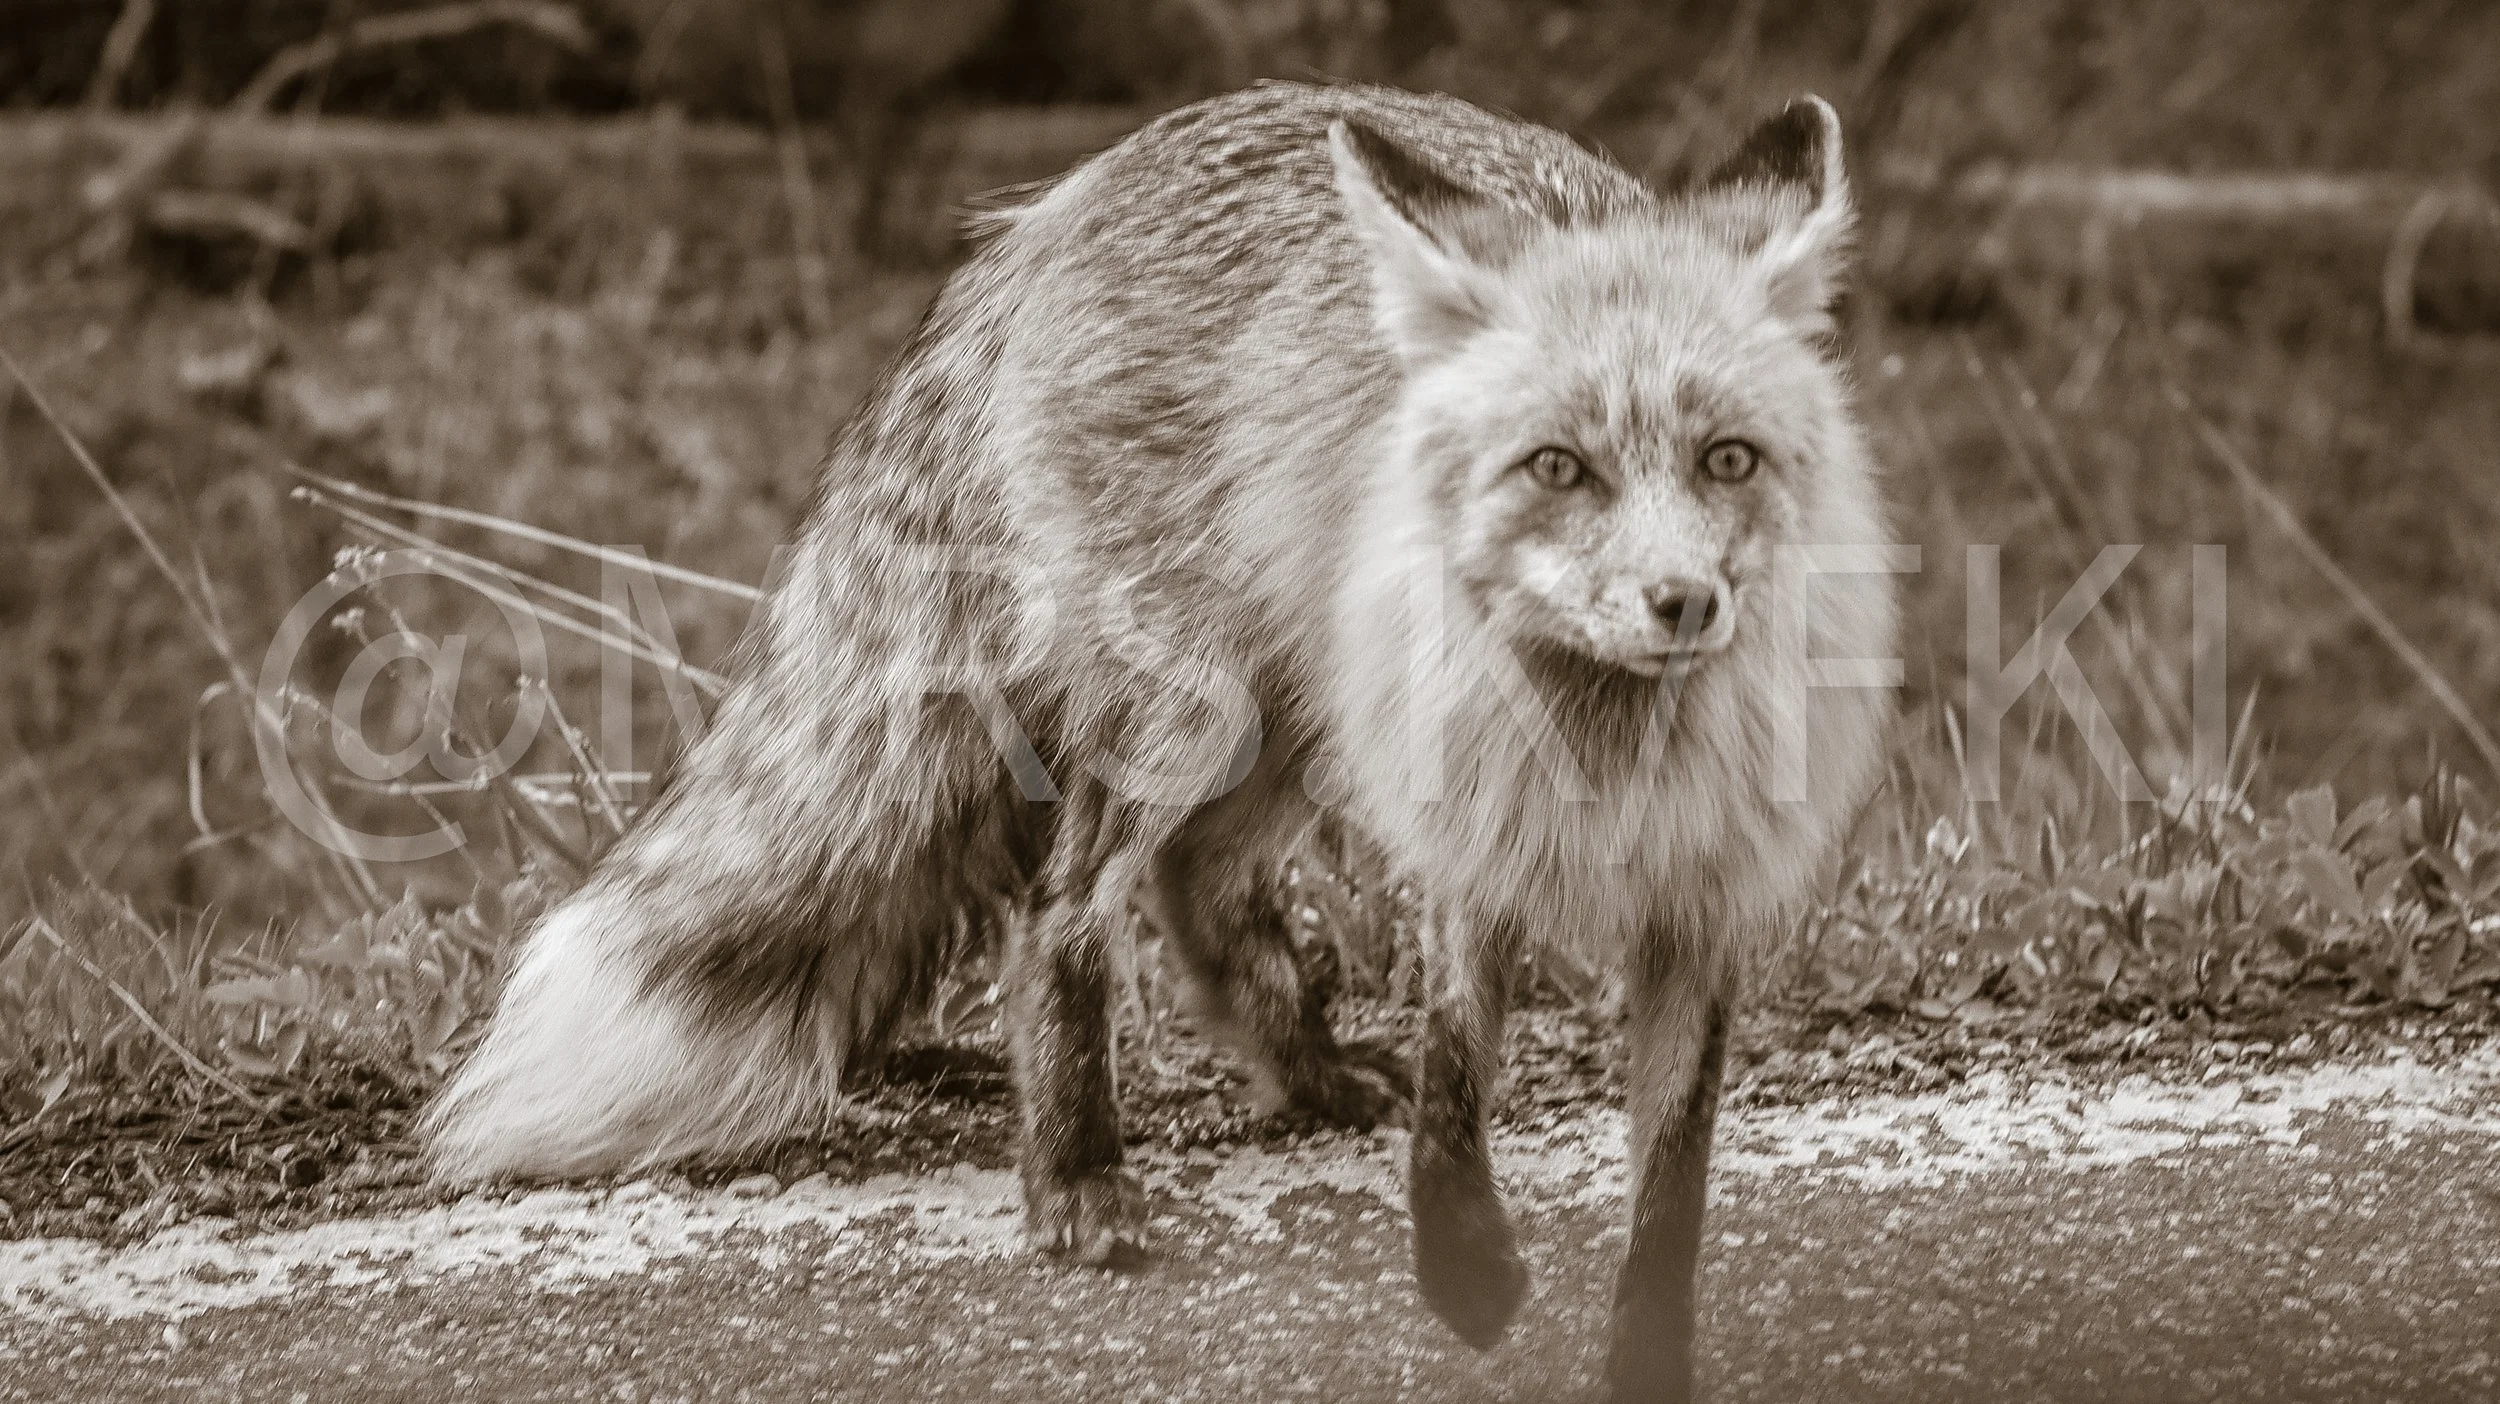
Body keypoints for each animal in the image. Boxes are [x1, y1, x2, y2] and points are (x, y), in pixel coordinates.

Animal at [424, 81, 1896, 1401]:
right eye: (1557, 469)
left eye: (1728, 460)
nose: (1682, 603)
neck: (1613, 751)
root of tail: (1061, 198)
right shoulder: (1463, 851)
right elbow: (1453, 1085)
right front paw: (1467, 1272)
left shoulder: (1706, 913)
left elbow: (1670, 1199)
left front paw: (1644, 1351)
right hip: (1188, 710)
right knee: (1063, 914)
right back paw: (1077, 1173)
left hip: (1282, 716)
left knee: (1197, 888)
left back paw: (1304, 1071)